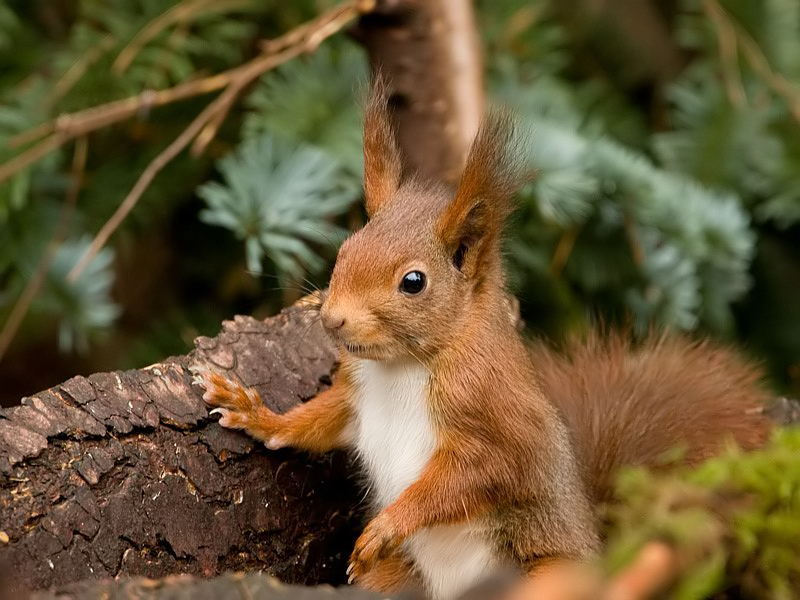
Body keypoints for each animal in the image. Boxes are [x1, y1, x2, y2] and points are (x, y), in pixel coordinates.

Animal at [192, 79, 768, 600]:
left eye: (414, 281)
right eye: (345, 248)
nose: (332, 320)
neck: (405, 365)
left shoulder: (493, 415)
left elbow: (475, 475)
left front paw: (386, 525)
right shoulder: (357, 396)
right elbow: (316, 422)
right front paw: (254, 412)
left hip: (549, 577)